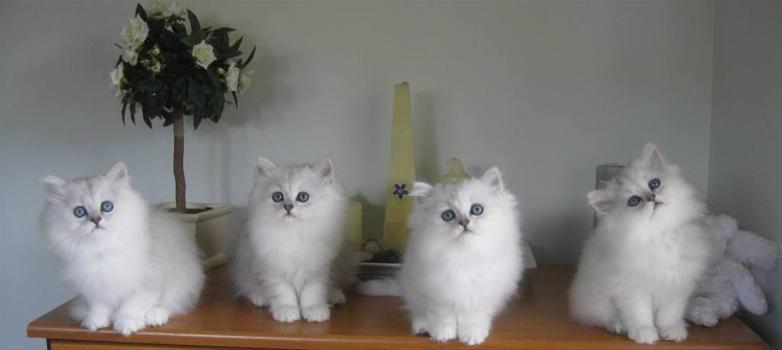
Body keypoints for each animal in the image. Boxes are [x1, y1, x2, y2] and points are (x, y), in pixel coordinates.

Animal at [41, 163, 205, 334]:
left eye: (107, 206)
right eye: (79, 212)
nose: (96, 220)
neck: (101, 249)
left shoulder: (146, 283)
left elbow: (133, 305)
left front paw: (127, 324)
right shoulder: (94, 287)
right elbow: (98, 307)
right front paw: (96, 321)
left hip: (184, 284)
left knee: (170, 304)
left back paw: (154, 316)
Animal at [231, 158, 354, 322]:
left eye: (303, 197)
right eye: (277, 197)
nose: (288, 206)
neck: (293, 233)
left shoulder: (317, 270)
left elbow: (312, 293)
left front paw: (315, 310)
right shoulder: (273, 269)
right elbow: (283, 293)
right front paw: (287, 311)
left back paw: (335, 296)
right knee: (248, 287)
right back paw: (260, 298)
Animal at [402, 167, 524, 344]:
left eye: (477, 209)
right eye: (447, 215)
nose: (464, 222)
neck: (464, 258)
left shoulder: (479, 296)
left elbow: (472, 318)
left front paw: (472, 335)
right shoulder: (436, 293)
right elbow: (443, 316)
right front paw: (442, 334)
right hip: (412, 291)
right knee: (417, 312)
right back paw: (422, 327)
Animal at [568, 144, 724, 344]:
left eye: (654, 183)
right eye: (633, 201)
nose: (651, 197)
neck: (662, 234)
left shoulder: (676, 288)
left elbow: (669, 316)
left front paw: (672, 332)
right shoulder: (632, 291)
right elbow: (639, 315)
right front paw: (645, 335)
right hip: (596, 303)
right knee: (603, 319)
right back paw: (619, 326)